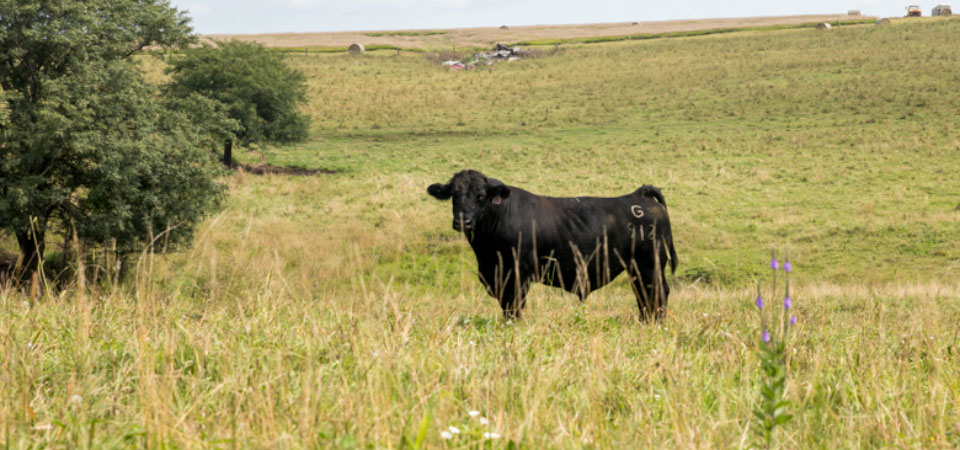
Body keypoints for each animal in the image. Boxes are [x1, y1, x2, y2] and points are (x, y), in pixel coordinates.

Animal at [427, 169, 678, 322]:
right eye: (454, 195)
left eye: (480, 196)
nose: (462, 221)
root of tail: (639, 196)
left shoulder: (518, 275)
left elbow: (514, 307)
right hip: (636, 269)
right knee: (643, 295)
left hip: (649, 265)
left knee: (657, 292)